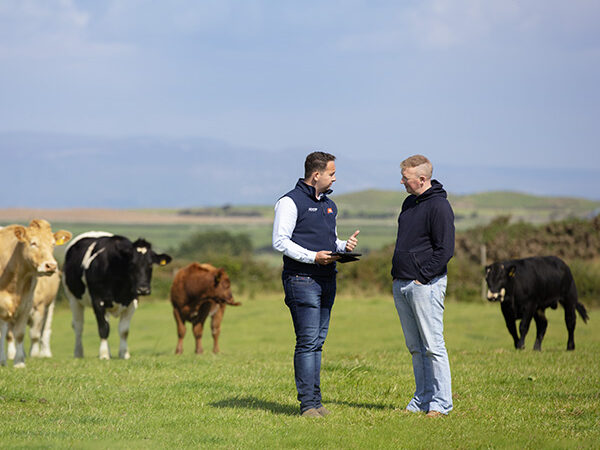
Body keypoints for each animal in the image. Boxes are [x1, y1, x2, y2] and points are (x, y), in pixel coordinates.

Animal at [0, 220, 71, 368]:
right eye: (33, 243)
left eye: (53, 244)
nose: (51, 265)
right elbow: (6, 334)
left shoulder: (29, 305)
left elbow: (25, 334)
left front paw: (21, 361)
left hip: (50, 306)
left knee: (45, 330)